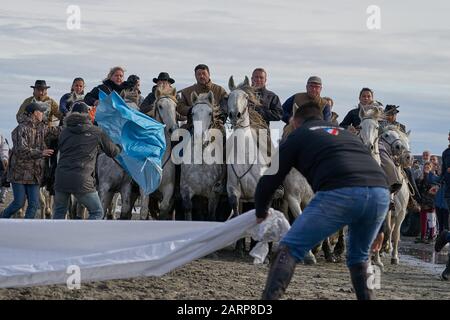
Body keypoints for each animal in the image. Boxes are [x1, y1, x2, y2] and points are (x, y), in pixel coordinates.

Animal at [140, 86, 178, 219]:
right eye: (160, 106)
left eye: (175, 107)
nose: (173, 129)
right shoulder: (145, 188)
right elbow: (144, 210)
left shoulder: (169, 189)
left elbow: (164, 208)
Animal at [179, 90, 225, 220]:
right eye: (192, 113)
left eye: (210, 113)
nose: (200, 136)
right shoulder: (185, 191)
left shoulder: (214, 194)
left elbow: (211, 215)